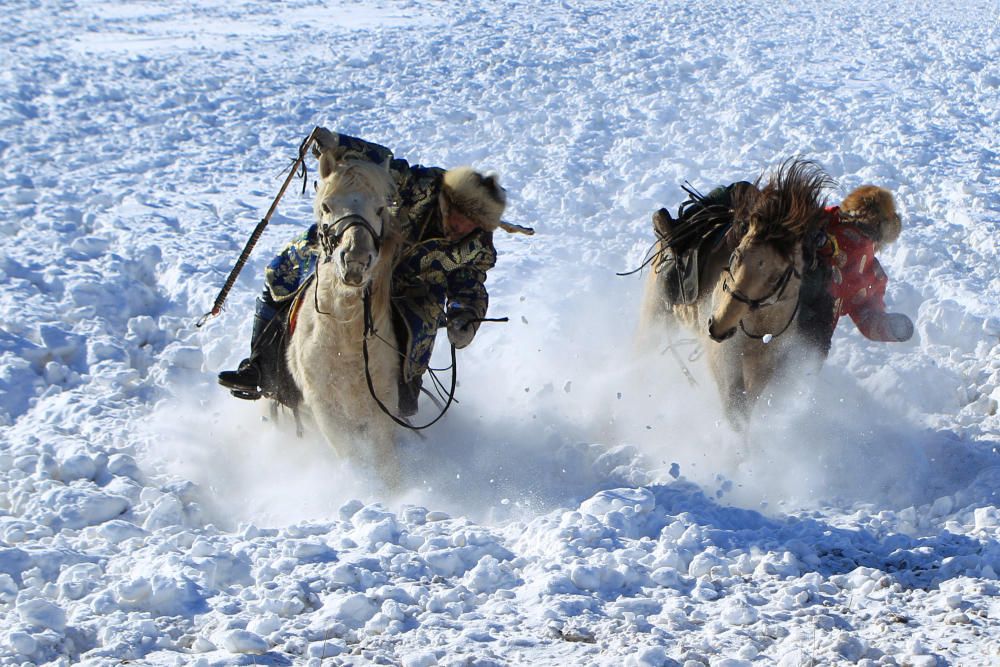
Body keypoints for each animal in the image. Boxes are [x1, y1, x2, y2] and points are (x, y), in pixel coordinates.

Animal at [286, 146, 402, 482]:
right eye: (326, 205)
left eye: (380, 208)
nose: (355, 262)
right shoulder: (325, 409)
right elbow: (353, 458)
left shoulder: (383, 405)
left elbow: (386, 463)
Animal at [636, 159, 832, 426]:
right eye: (737, 254)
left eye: (778, 274)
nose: (717, 326)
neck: (759, 322)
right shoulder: (724, 358)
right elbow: (735, 408)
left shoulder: (763, 365)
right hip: (654, 315)